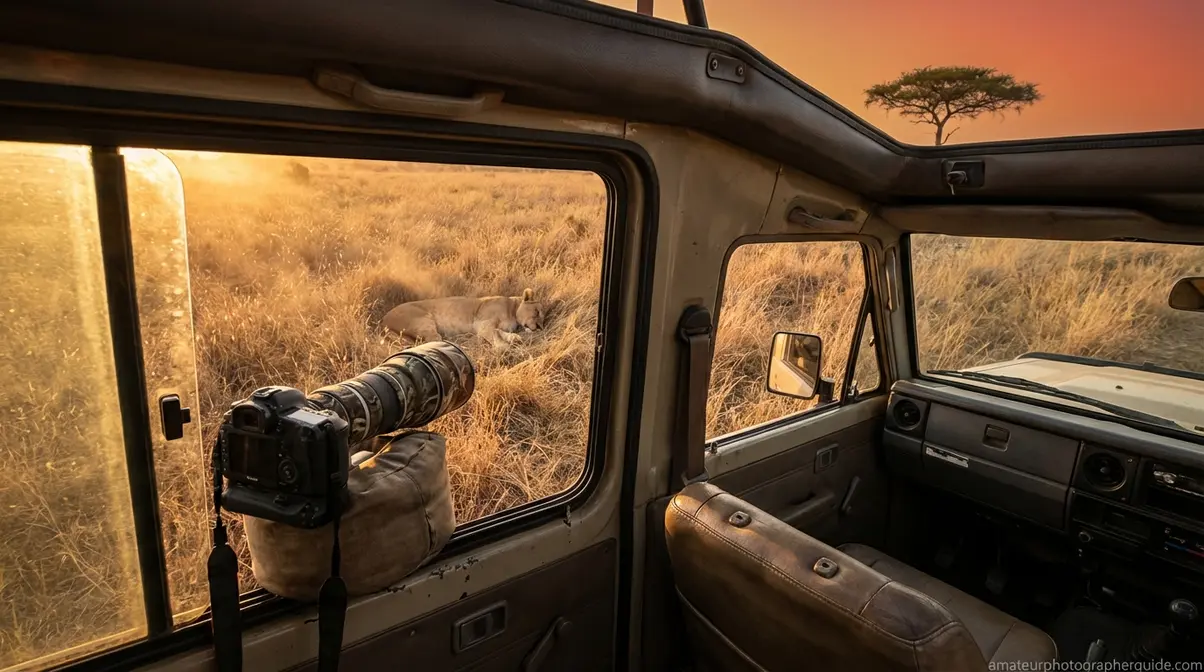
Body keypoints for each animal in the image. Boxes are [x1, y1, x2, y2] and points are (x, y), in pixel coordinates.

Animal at [382, 288, 548, 350]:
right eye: (537, 312)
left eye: (544, 318)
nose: (541, 327)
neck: (513, 310)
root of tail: (383, 321)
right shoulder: (483, 323)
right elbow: (494, 335)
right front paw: (504, 347)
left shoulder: (489, 326)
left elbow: (500, 332)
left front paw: (514, 338)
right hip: (423, 321)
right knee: (435, 340)